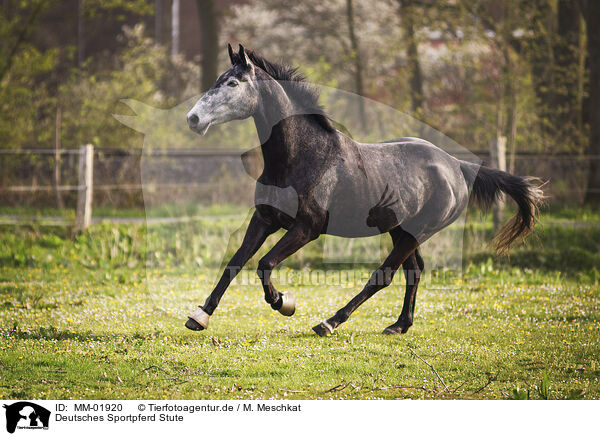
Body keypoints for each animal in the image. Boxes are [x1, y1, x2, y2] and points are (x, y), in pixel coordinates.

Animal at [184, 44, 544, 336]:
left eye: (233, 83)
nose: (193, 119)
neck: (303, 156)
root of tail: (457, 166)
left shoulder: (307, 228)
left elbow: (264, 264)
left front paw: (284, 302)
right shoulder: (264, 219)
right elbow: (235, 262)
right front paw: (199, 316)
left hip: (417, 232)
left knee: (384, 275)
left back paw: (329, 323)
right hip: (400, 229)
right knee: (413, 271)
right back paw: (399, 325)